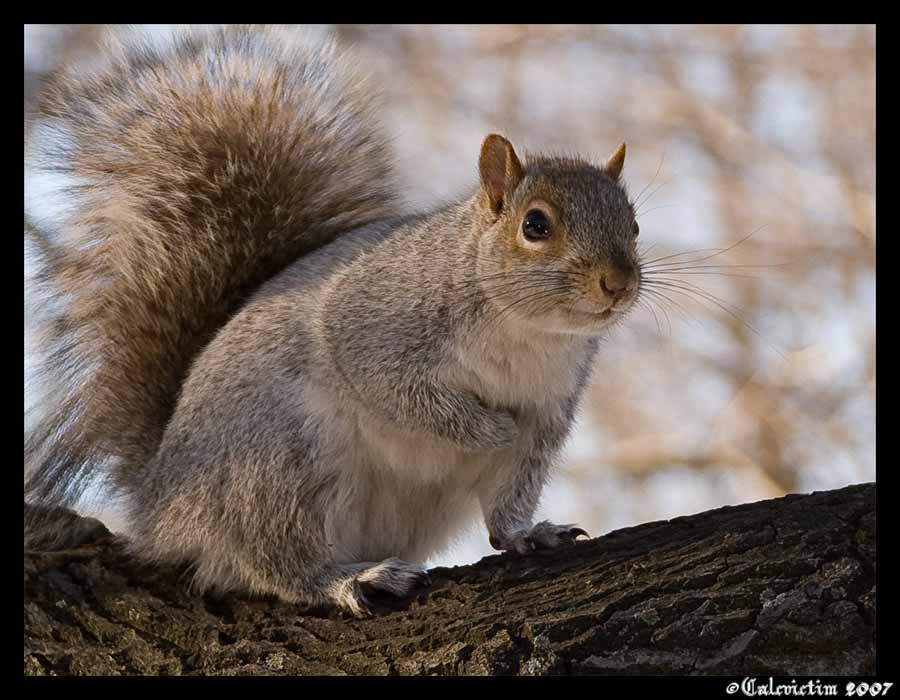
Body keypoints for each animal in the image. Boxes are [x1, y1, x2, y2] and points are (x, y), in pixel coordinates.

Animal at [24, 25, 642, 617]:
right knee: (273, 556)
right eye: (535, 225)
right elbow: (402, 393)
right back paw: (343, 580)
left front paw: (528, 533)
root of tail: (157, 503)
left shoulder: (550, 409)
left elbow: (512, 491)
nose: (617, 284)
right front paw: (490, 429)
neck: (530, 331)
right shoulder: (374, 327)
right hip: (278, 461)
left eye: (634, 225)